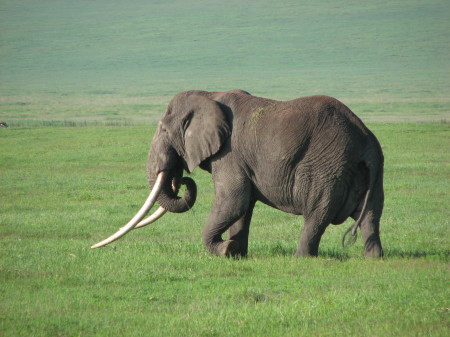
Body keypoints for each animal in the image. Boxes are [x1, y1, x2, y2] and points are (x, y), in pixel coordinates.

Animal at [92, 89, 384, 258]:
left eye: (163, 130)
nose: (181, 178)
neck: (208, 95)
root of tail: (364, 138)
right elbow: (243, 207)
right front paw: (237, 253)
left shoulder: (229, 153)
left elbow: (234, 199)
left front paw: (225, 250)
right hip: (373, 168)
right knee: (371, 215)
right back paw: (374, 258)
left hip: (325, 167)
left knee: (316, 213)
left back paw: (300, 259)